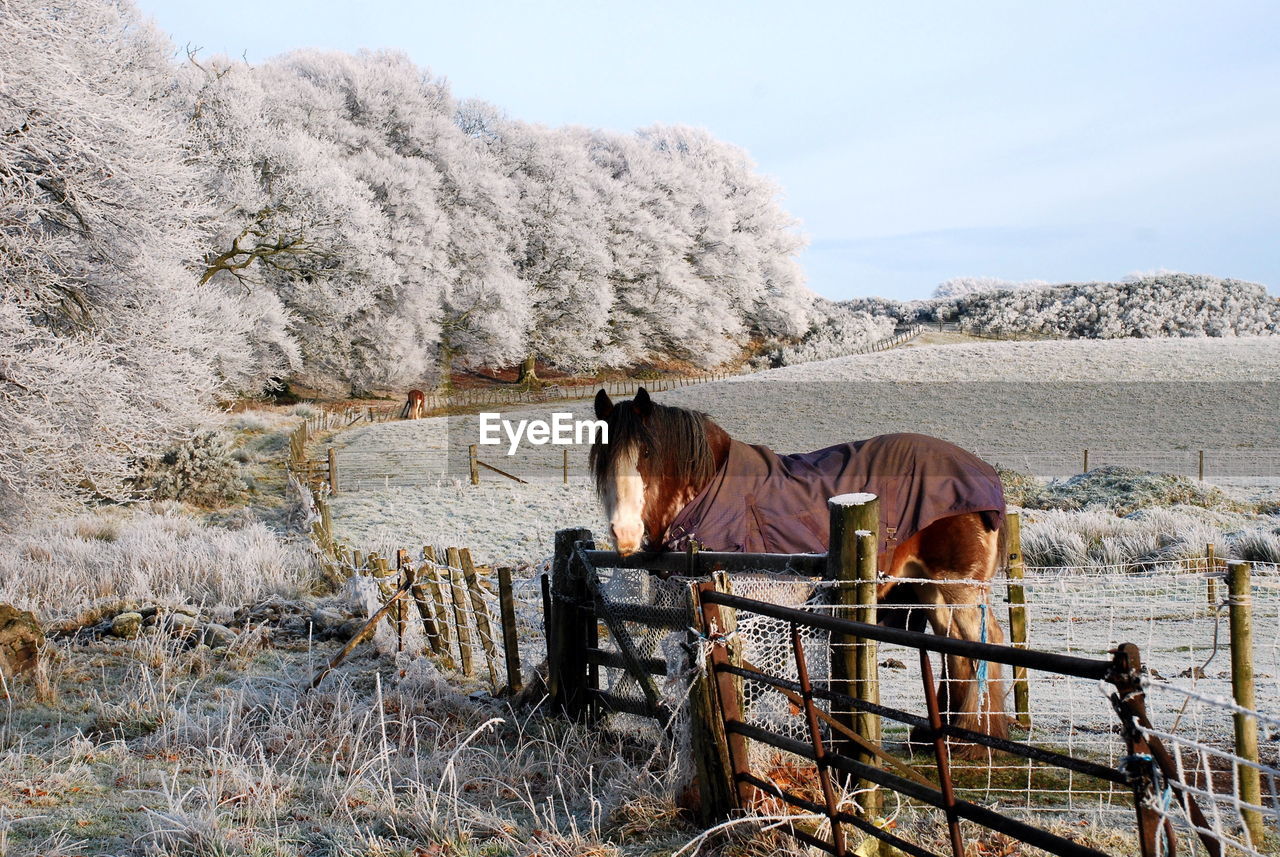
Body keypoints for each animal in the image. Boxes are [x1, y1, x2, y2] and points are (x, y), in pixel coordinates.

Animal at [586, 388, 1008, 752]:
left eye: (646, 454)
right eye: (603, 458)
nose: (624, 533)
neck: (708, 493)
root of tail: (981, 470)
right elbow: (635, 664)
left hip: (958, 585)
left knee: (979, 644)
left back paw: (972, 740)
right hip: (928, 589)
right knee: (954, 650)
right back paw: (943, 737)